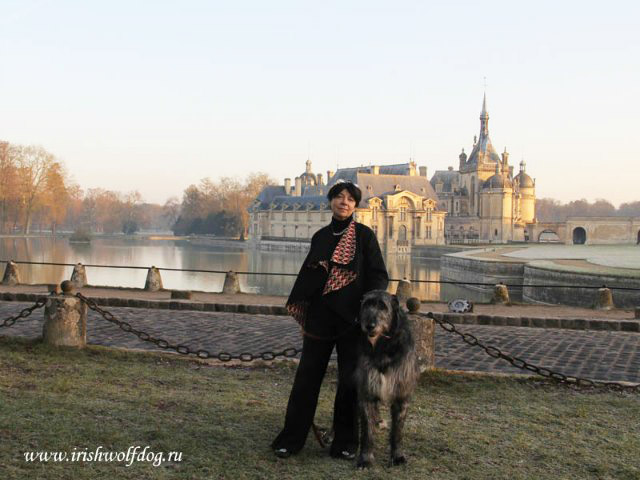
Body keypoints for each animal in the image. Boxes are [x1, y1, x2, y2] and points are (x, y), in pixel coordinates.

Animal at [356, 288, 420, 468]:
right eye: (366, 305)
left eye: (382, 306)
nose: (369, 325)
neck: (382, 347)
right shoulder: (367, 393)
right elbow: (367, 430)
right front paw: (366, 458)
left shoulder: (401, 395)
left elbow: (397, 431)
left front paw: (397, 456)